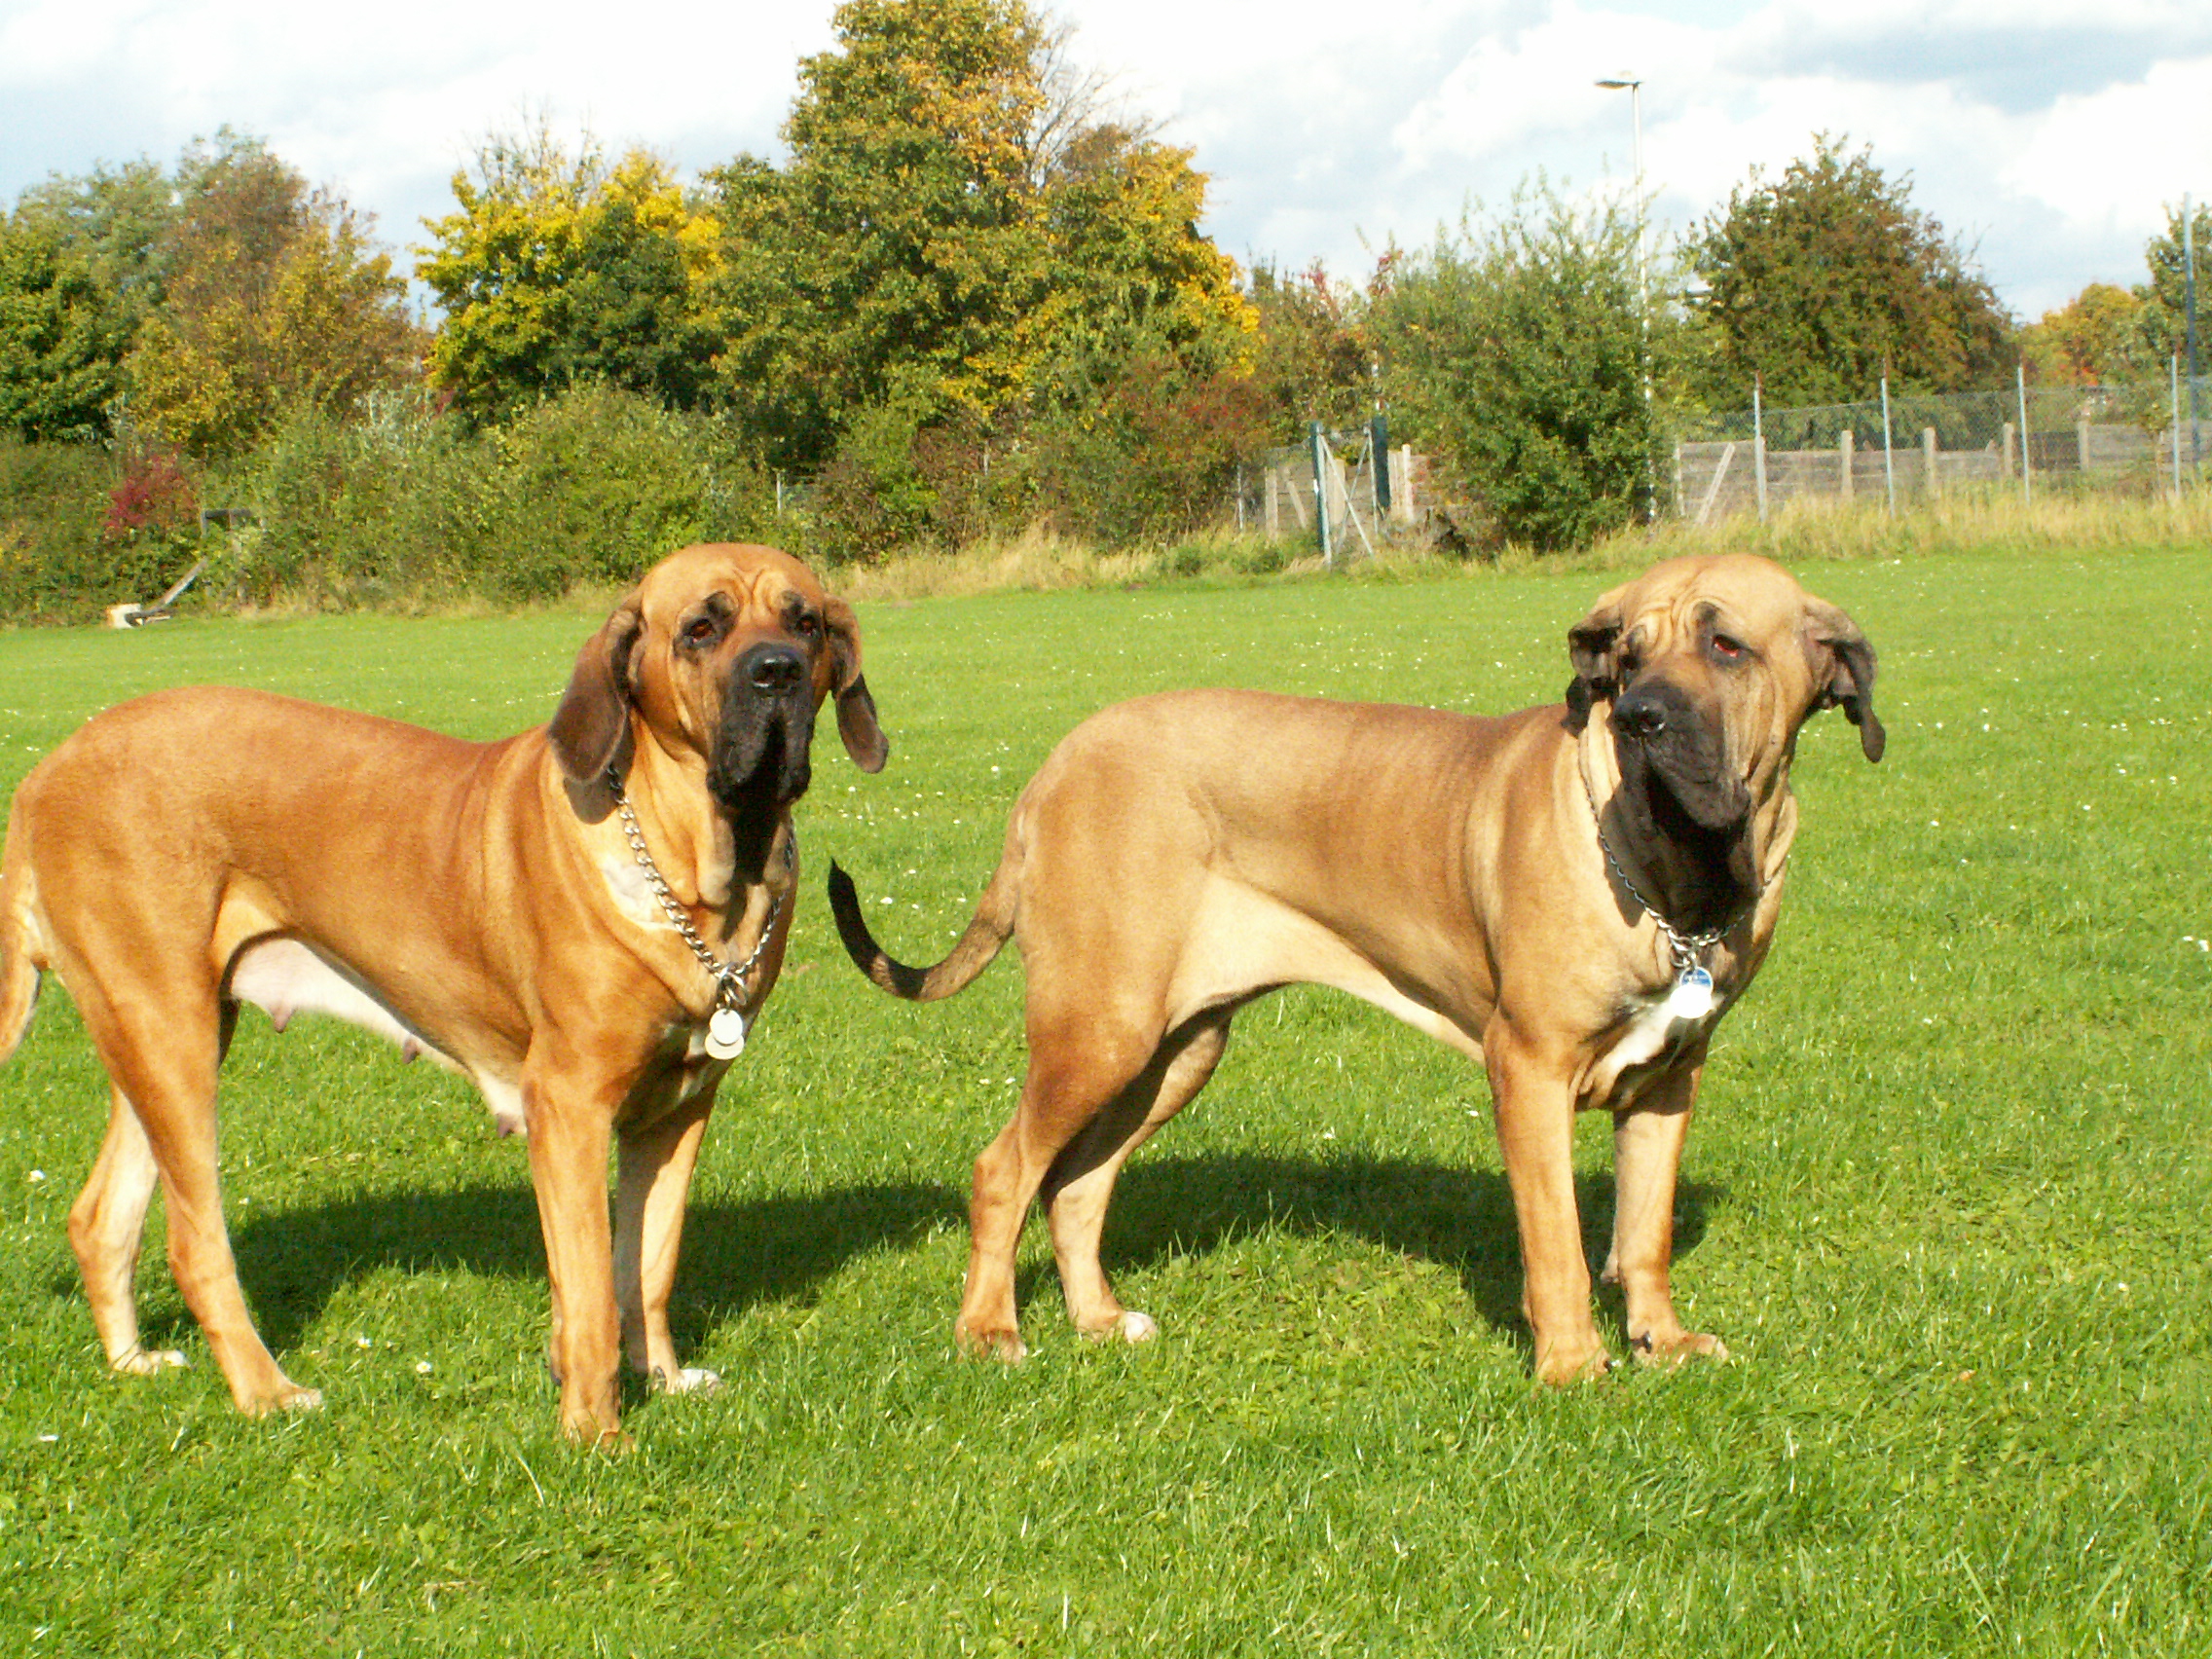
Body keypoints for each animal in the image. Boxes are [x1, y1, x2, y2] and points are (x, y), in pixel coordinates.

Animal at [2, 541, 880, 1442]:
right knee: (193, 1240)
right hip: (168, 1034)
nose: (776, 672)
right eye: (702, 628)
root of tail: (44, 776)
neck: (704, 865)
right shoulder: (570, 1103)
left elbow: (647, 1262)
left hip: (172, 1031)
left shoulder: (677, 1107)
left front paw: (662, 1380)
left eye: (805, 623)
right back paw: (268, 1391)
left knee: (101, 1216)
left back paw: (132, 1363)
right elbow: (591, 1290)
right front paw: (595, 1434)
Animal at [831, 553, 1884, 1380]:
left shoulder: (1670, 1078)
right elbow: (1557, 1242)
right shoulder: (1530, 1067)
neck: (1674, 870)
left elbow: (1646, 1230)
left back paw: (1097, 1319)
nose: (1639, 717)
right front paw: (1572, 1365)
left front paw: (1661, 1341)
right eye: (1625, 656)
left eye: (1727, 647)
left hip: (1173, 1049)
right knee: (1005, 1170)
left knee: (1079, 1183)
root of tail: (1050, 772)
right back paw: (988, 1331)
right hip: (1098, 1026)